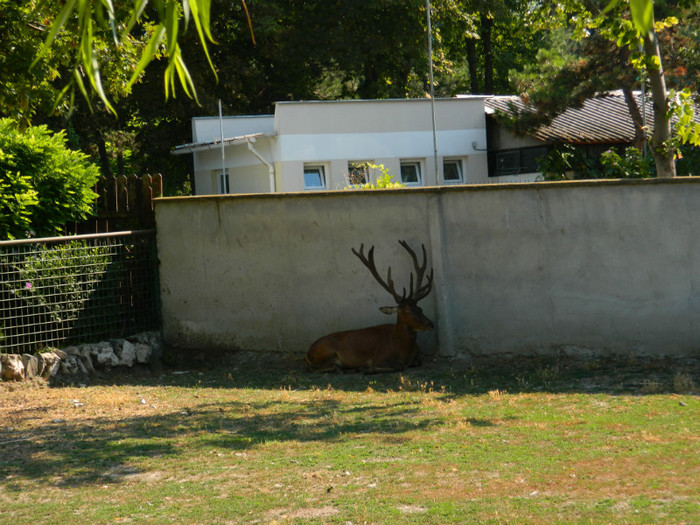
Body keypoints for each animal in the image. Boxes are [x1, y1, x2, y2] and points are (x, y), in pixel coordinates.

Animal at [304, 241, 432, 372]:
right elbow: (397, 366)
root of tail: (307, 353)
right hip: (327, 350)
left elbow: (418, 361)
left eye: (420, 309)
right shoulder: (378, 357)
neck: (405, 352)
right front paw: (369, 369)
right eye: (407, 311)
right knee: (313, 368)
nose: (430, 324)